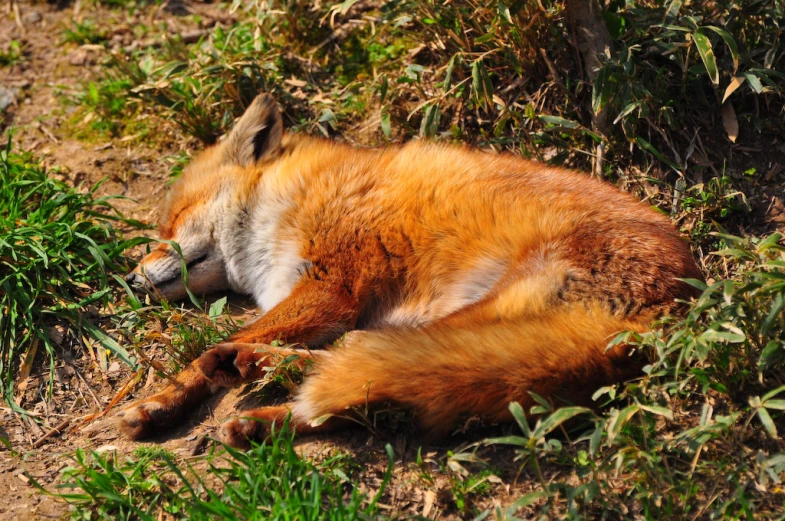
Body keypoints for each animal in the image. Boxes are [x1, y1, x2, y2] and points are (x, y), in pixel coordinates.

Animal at [119, 93, 700, 446]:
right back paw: (260, 409)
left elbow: (194, 361)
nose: (128, 280)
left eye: (170, 223)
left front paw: (159, 401)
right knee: (364, 374)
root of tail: (682, 301)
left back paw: (246, 369)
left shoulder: (331, 286)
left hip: (479, 310)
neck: (300, 194)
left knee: (353, 359)